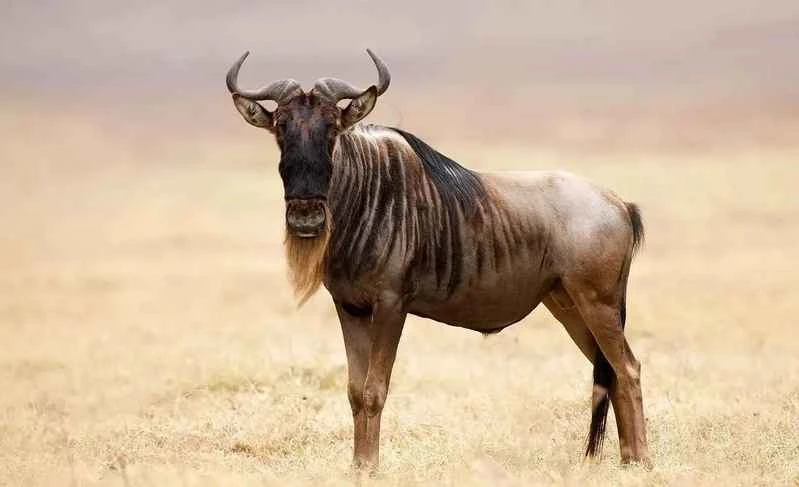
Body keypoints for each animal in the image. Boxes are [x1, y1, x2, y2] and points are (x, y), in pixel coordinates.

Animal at [226, 49, 651, 470]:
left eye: (332, 129)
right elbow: (355, 390)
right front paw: (358, 466)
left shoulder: (391, 305)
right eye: (281, 128)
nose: (306, 218)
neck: (363, 195)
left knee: (628, 368)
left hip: (598, 304)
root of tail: (620, 203)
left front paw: (372, 468)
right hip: (568, 306)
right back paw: (627, 459)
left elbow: (375, 389)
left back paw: (643, 461)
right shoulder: (350, 307)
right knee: (611, 371)